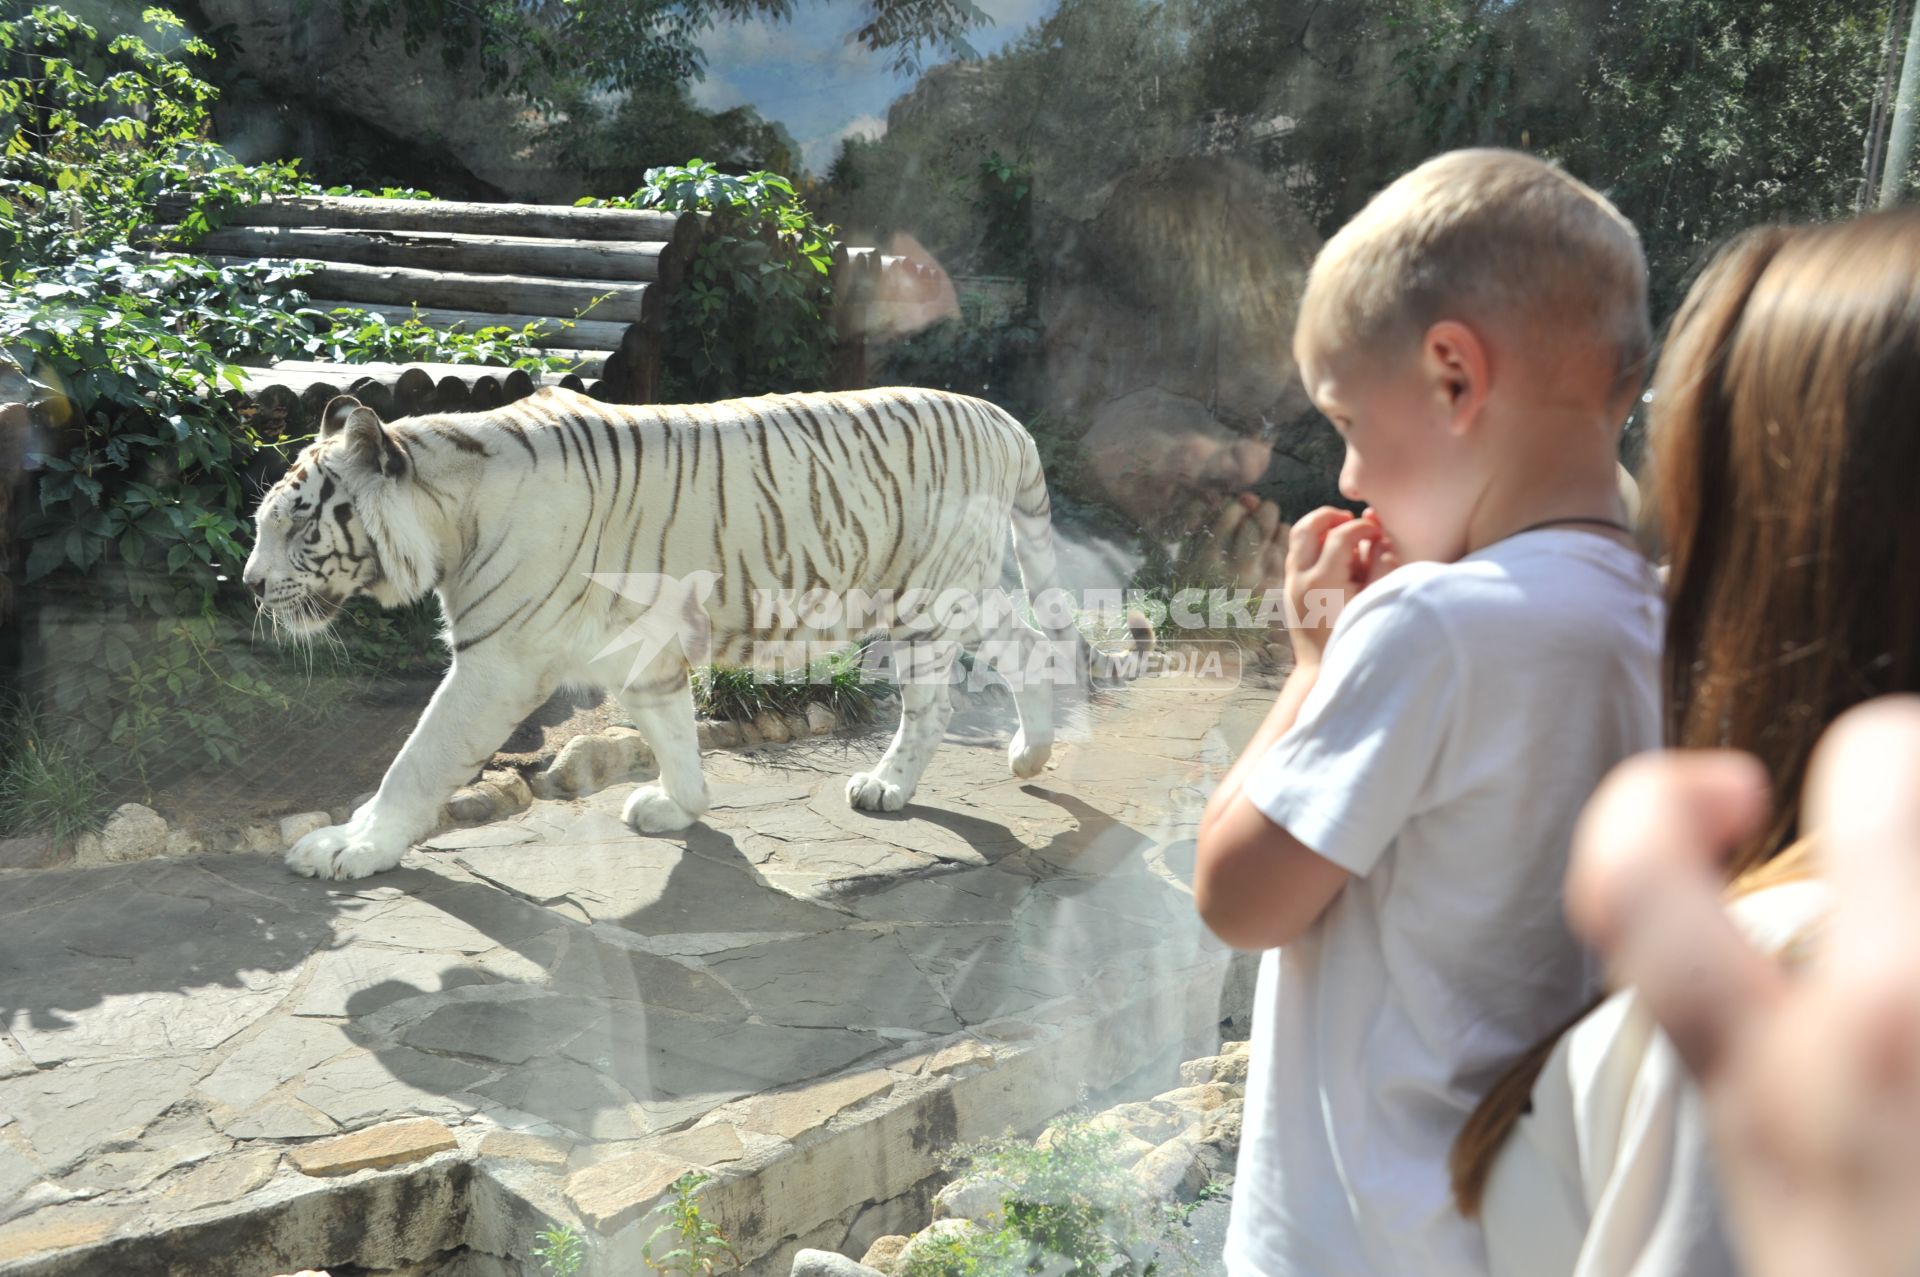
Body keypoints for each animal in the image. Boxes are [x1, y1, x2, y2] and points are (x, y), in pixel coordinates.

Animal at [245, 384, 1128, 875]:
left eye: (299, 525)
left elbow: (417, 761)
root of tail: (1001, 416)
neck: (449, 513)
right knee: (1007, 657)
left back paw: (921, 779)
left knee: (965, 682)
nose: (250, 584)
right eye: (262, 524)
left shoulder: (498, 660)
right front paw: (681, 805)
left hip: (932, 592)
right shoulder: (641, 652)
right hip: (945, 590)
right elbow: (672, 731)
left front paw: (350, 847)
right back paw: (1001, 762)